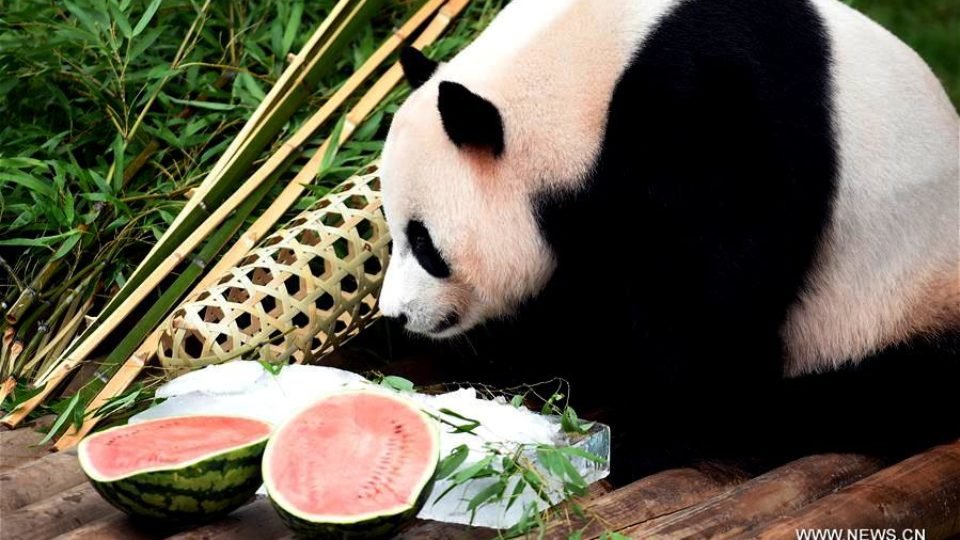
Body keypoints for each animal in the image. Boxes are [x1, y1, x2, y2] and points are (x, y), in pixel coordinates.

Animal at [376, 0, 960, 480]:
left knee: (887, 389)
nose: (397, 316)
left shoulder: (712, 111)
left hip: (895, 298)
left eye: (425, 245)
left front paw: (645, 443)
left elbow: (709, 295)